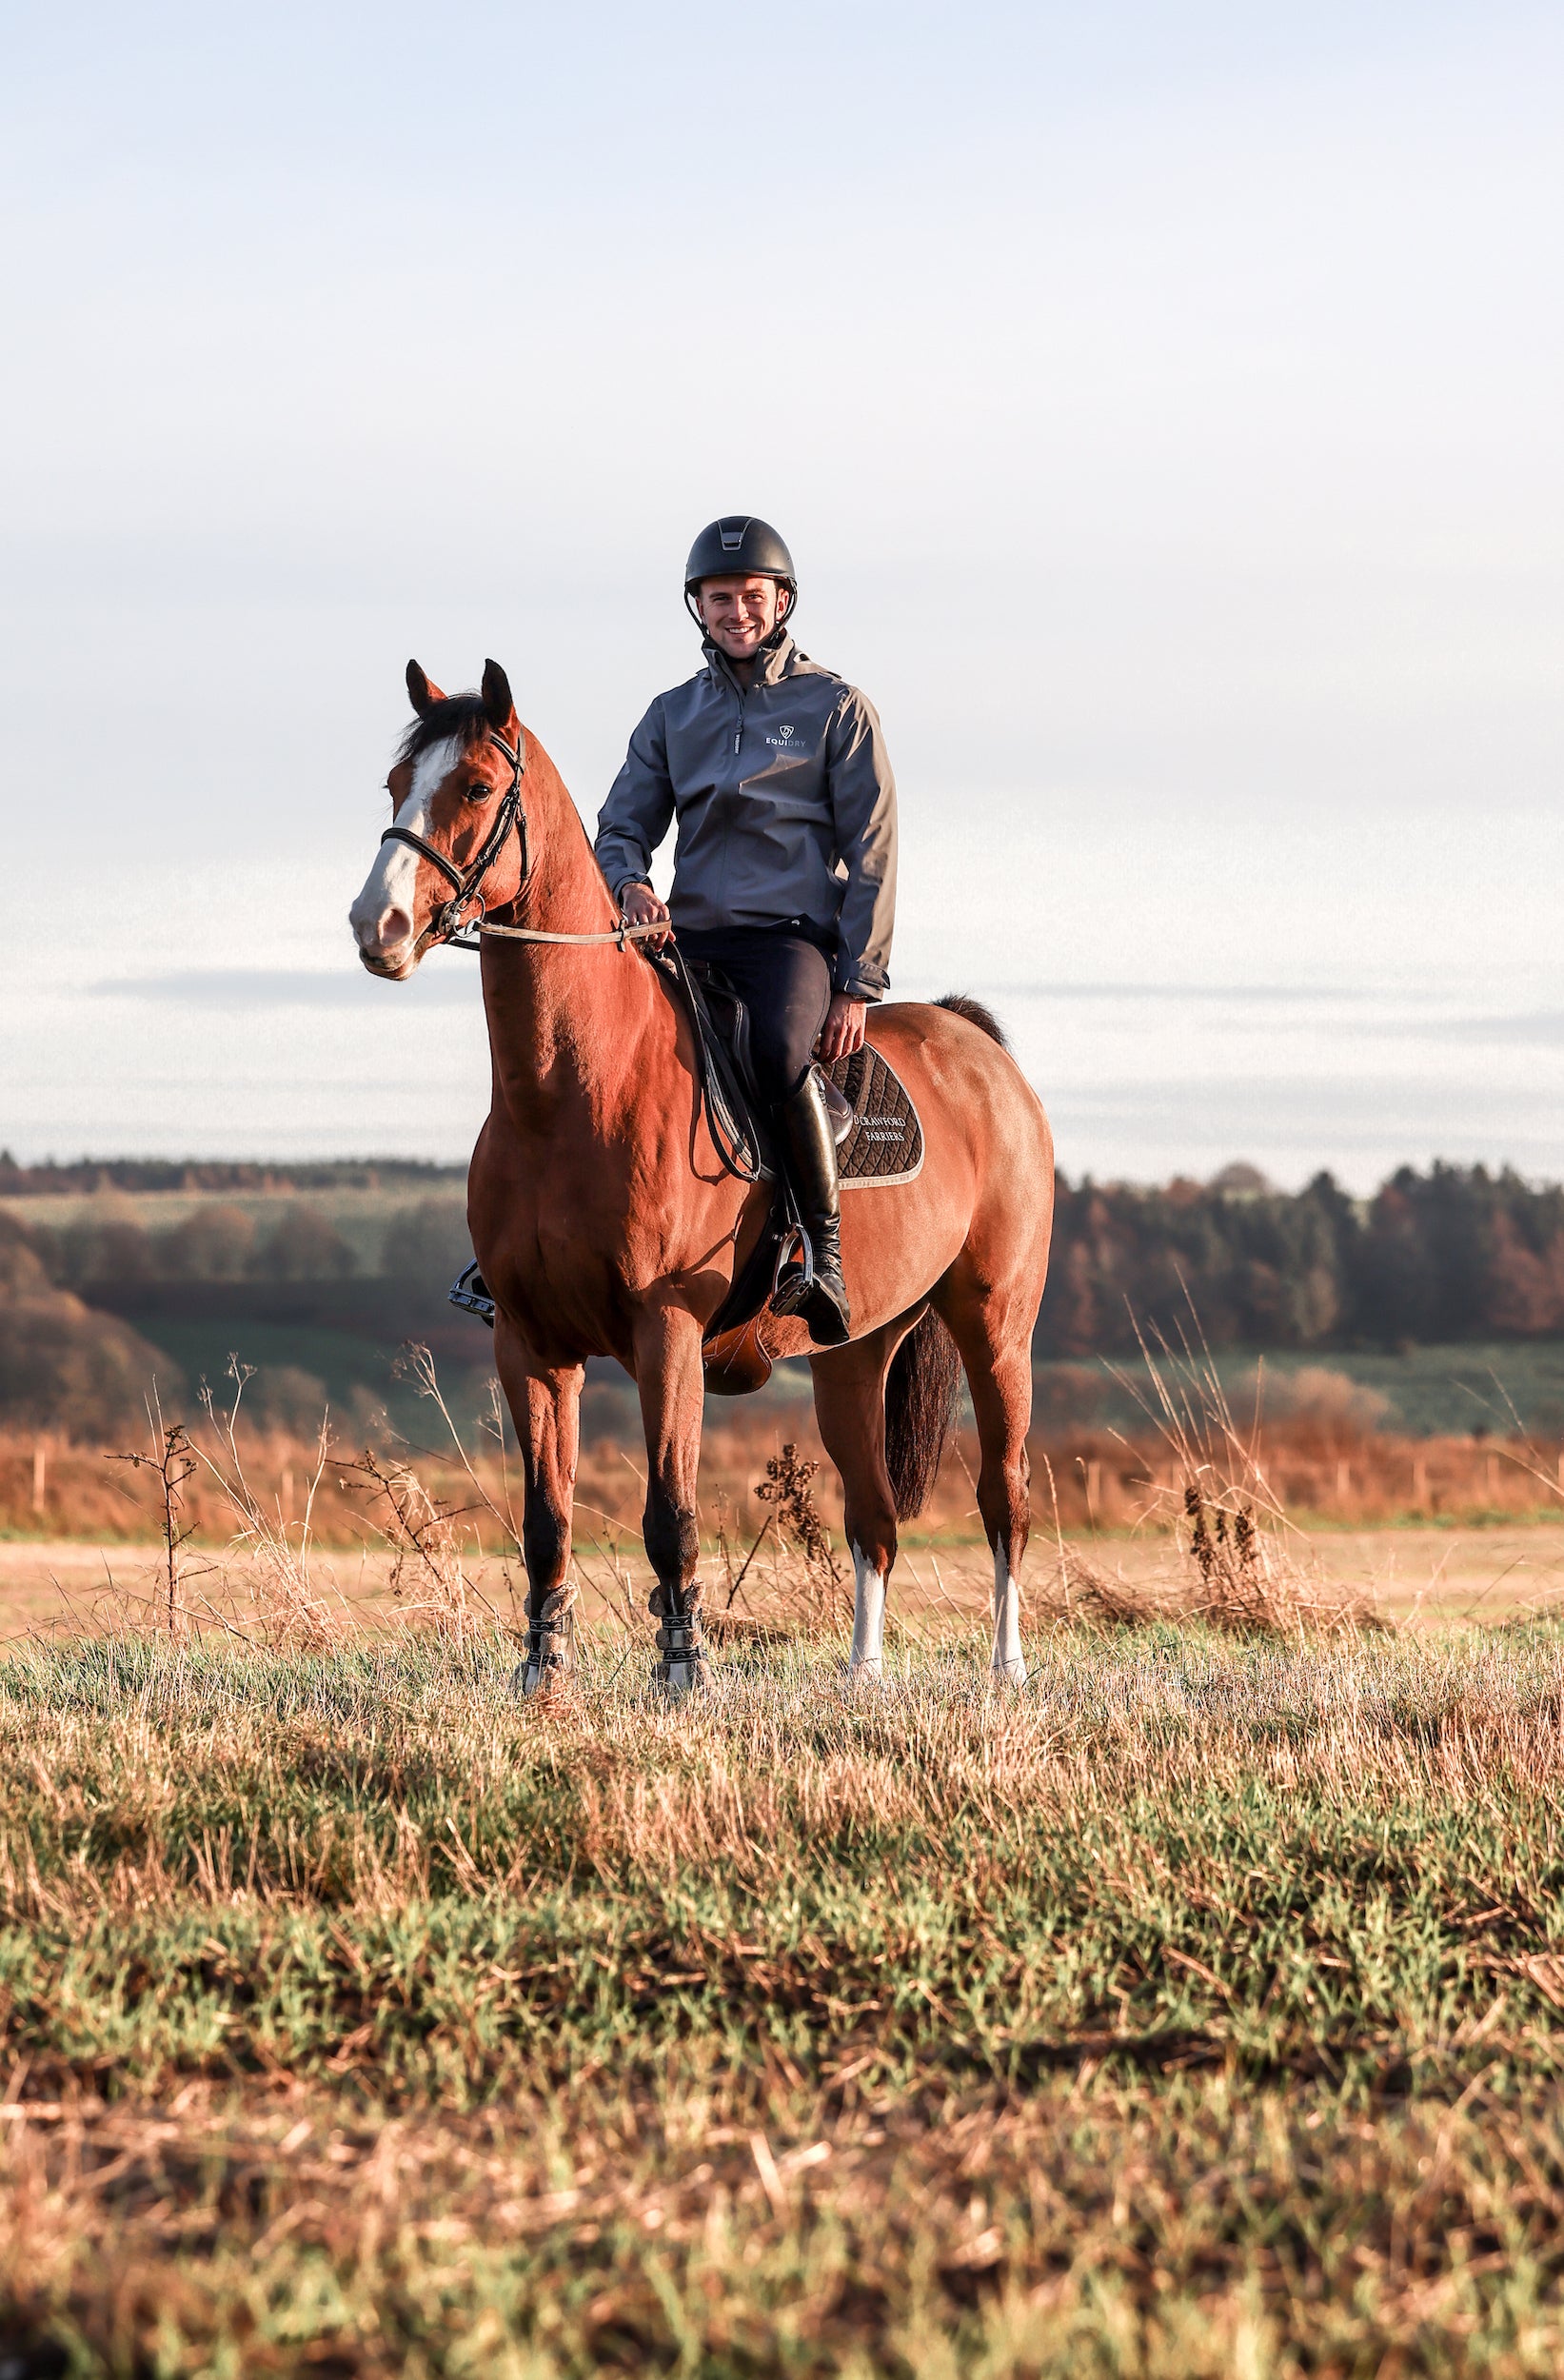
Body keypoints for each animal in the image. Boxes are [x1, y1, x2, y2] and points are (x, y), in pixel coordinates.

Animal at [345, 657, 1047, 1695]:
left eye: (473, 787)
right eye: (397, 784)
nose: (375, 925)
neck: (573, 1088)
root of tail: (974, 1045)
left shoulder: (665, 1329)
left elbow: (668, 1516)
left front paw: (683, 1671)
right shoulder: (529, 1343)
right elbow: (544, 1520)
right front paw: (540, 1674)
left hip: (995, 1328)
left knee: (1003, 1497)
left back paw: (1005, 1670)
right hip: (853, 1352)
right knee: (873, 1518)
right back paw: (861, 1675)